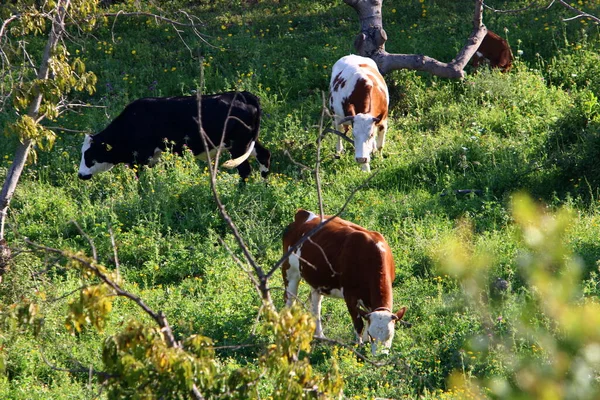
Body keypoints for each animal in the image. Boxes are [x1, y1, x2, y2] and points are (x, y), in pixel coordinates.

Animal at [78, 91, 270, 180]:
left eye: (89, 155)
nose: (80, 175)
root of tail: (243, 94)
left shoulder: (140, 157)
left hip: (238, 145)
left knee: (245, 170)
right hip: (248, 142)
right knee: (264, 155)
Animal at [282, 208, 408, 354]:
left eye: (390, 335)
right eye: (372, 336)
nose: (380, 357)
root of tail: (303, 214)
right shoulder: (350, 296)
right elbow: (358, 324)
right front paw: (359, 346)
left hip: (317, 279)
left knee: (316, 304)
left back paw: (320, 336)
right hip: (290, 270)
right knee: (290, 300)